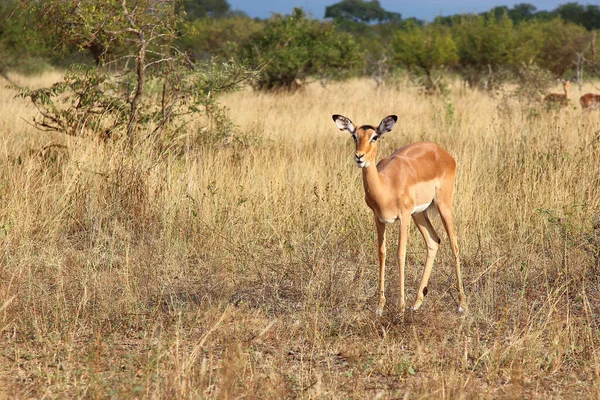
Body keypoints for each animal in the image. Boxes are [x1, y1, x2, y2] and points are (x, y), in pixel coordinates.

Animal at [332, 114, 464, 314]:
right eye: (355, 136)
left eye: (375, 137)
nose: (359, 157)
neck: (387, 185)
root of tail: (442, 152)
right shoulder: (379, 219)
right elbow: (381, 253)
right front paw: (380, 306)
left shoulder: (403, 216)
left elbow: (401, 253)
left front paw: (400, 307)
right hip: (419, 214)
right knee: (434, 241)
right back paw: (416, 303)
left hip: (443, 206)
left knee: (454, 243)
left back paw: (462, 304)